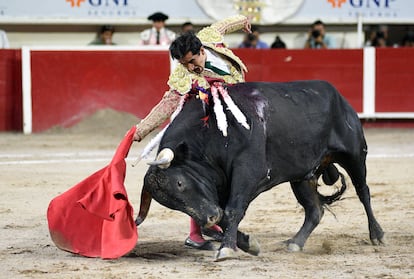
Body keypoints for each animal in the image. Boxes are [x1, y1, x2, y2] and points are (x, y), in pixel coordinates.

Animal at [137, 80, 384, 262]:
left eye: (180, 183)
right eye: (171, 204)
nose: (208, 218)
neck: (212, 132)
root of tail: (337, 95)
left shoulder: (248, 172)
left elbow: (232, 211)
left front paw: (227, 249)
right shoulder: (221, 187)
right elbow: (225, 217)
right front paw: (248, 244)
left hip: (354, 155)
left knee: (363, 191)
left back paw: (377, 235)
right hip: (302, 176)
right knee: (315, 210)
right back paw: (295, 243)